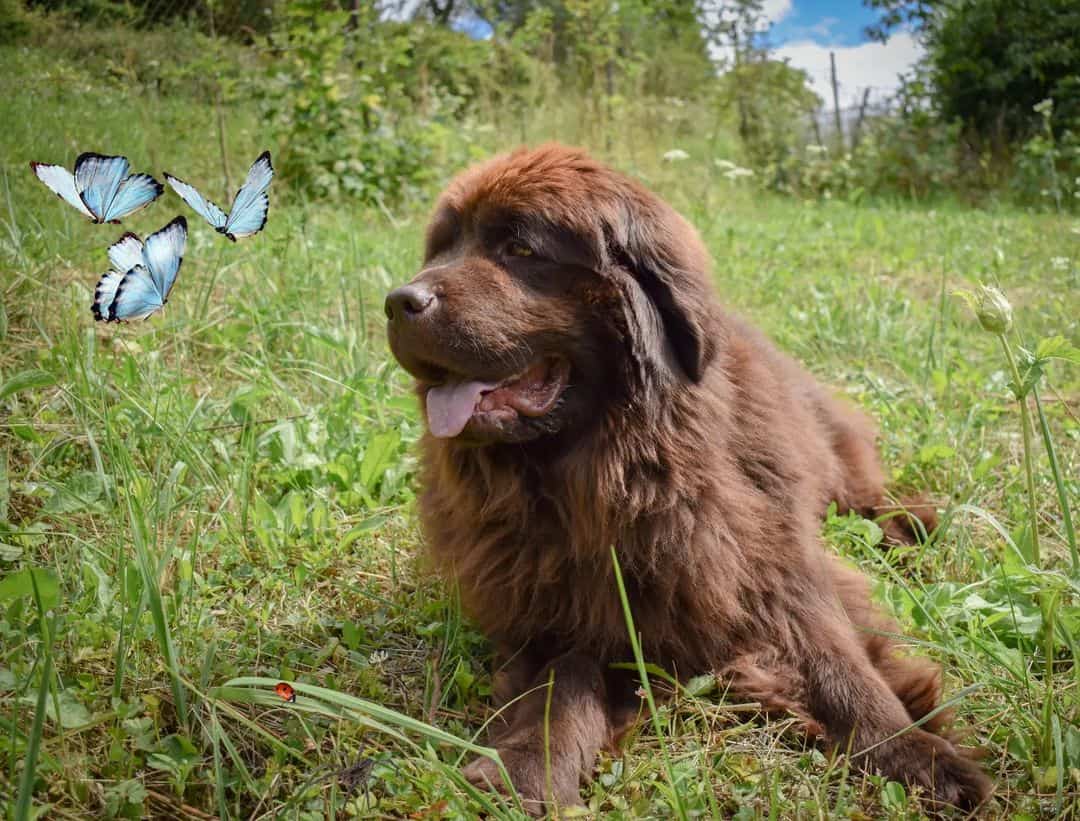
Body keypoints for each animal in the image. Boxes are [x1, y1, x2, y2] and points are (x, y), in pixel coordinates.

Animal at [384, 142, 989, 816]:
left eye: (519, 248)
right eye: (440, 250)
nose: (399, 301)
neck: (611, 475)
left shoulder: (776, 569)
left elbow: (841, 663)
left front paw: (918, 757)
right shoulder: (555, 609)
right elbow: (561, 685)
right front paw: (527, 770)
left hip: (837, 463)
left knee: (866, 497)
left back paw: (914, 527)